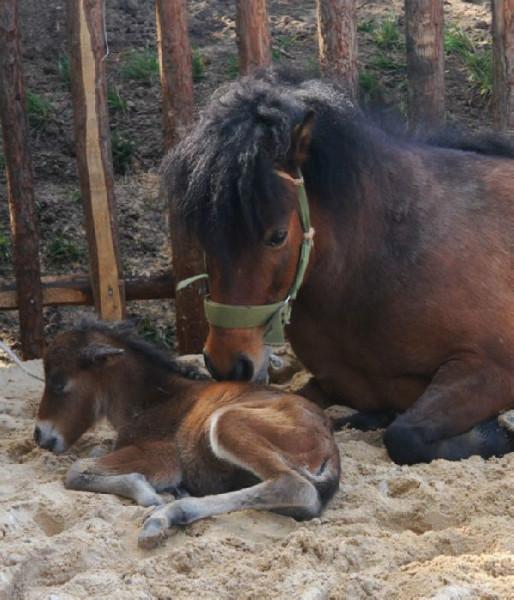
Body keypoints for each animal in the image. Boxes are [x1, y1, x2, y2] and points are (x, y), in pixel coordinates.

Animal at [163, 70, 512, 464]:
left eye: (277, 236)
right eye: (204, 234)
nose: (227, 365)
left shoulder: (491, 367)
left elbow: (404, 435)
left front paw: (494, 434)